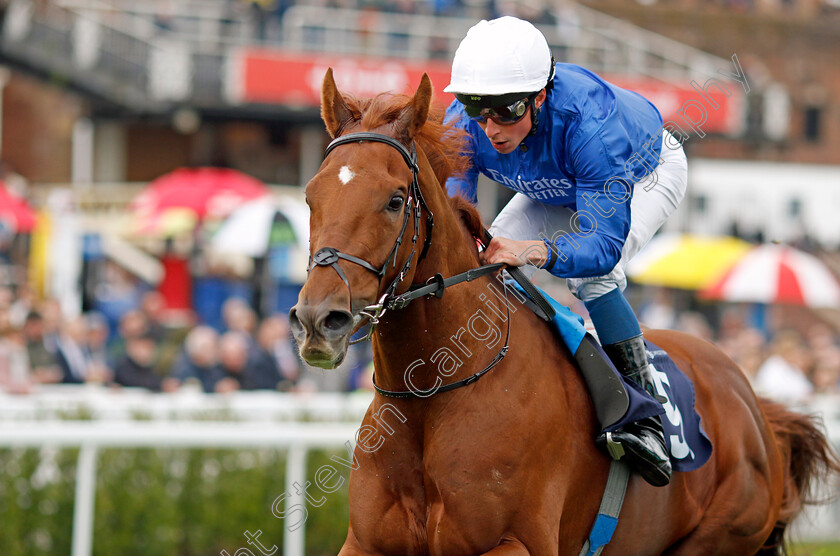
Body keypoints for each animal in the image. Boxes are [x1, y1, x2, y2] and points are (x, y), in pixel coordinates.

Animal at [290, 70, 840, 556]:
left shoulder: (518, 543)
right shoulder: (366, 544)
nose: (319, 319)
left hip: (719, 536)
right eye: (310, 196)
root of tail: (755, 406)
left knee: (599, 279)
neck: (434, 392)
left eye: (394, 199)